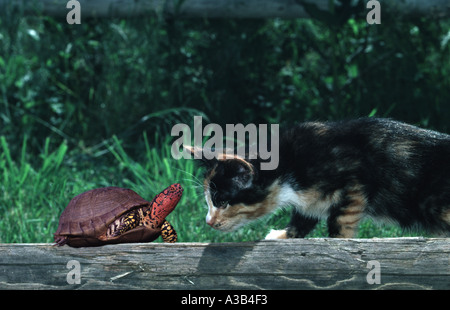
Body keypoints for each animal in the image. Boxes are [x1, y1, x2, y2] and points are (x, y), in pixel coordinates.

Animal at [187, 117, 450, 239]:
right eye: (208, 200)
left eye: (222, 201)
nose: (208, 222)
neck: (289, 168)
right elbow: (305, 215)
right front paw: (283, 235)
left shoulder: (354, 180)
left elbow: (339, 220)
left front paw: (337, 241)